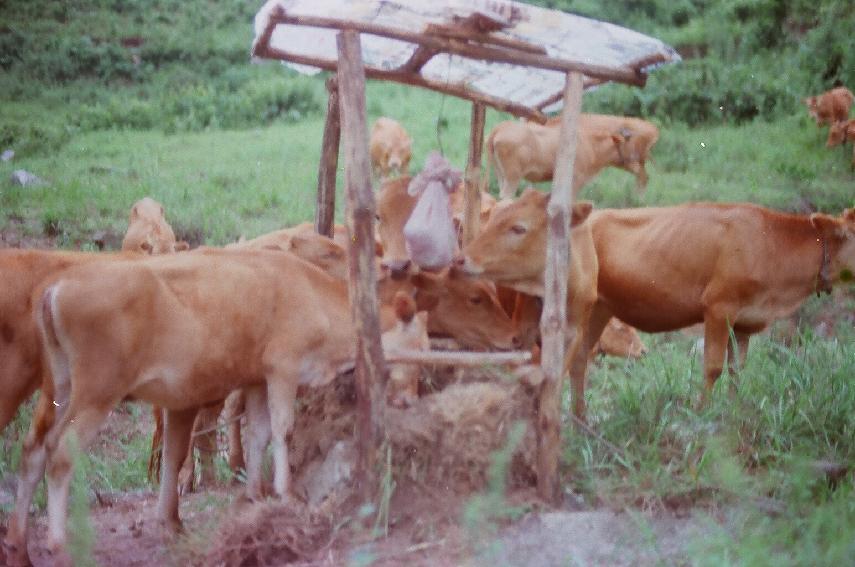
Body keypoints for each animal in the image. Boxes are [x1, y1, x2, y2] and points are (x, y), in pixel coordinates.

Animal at [484, 113, 660, 200]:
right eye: (629, 142)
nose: (637, 163)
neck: (589, 141)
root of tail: (500, 128)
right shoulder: (576, 180)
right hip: (512, 177)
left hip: (501, 176)